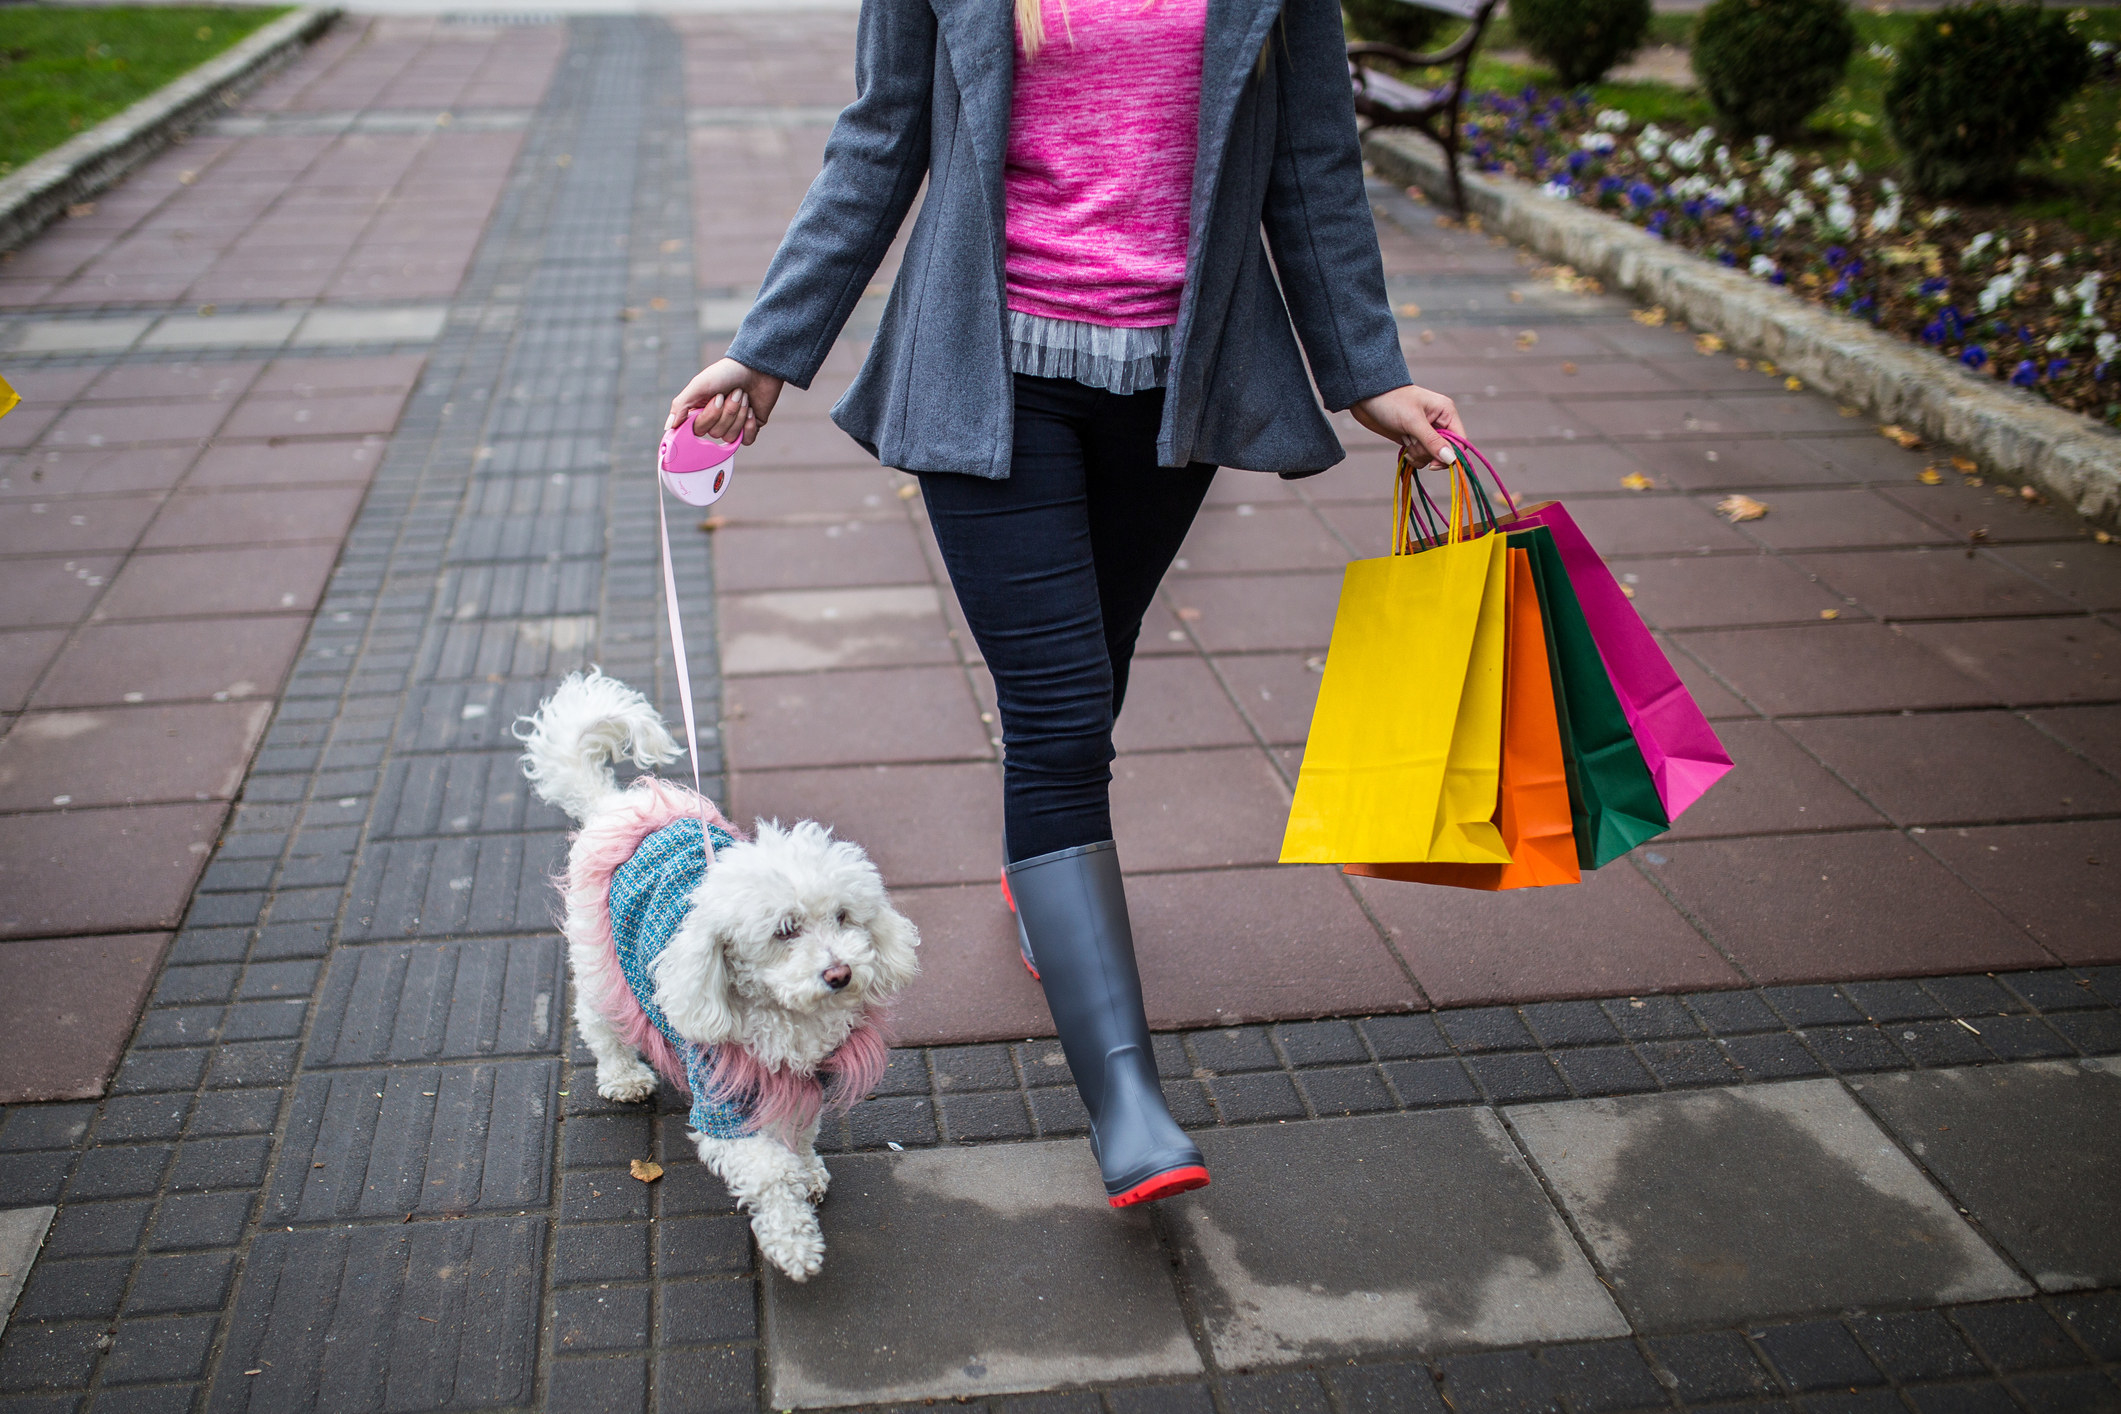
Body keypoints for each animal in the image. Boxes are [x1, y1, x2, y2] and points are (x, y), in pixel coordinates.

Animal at [519, 674, 920, 1280]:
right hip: (598, 960)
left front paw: (808, 1171)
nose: (840, 973)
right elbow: (769, 1170)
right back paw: (623, 1076)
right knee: (599, 1021)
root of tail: (617, 804)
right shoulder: (723, 1102)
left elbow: (798, 1132)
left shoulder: (802, 1080)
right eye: (784, 930)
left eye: (844, 917)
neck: (787, 1019)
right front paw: (794, 1243)